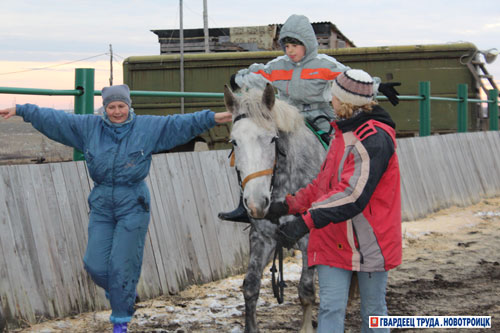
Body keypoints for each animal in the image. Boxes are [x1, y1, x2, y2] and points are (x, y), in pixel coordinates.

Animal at [224, 85, 326, 332]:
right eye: (234, 141)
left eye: (272, 139)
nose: (256, 203)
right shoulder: (262, 237)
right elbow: (250, 287)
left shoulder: (309, 238)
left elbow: (306, 291)